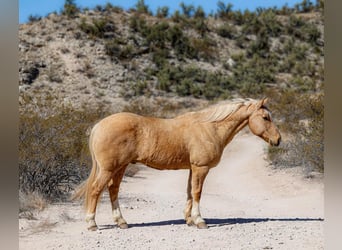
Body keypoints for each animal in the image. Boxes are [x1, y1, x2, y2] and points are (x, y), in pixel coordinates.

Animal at [74, 97, 280, 230]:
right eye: (265, 117)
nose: (278, 140)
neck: (210, 128)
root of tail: (99, 126)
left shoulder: (192, 168)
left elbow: (189, 192)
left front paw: (189, 220)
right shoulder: (201, 168)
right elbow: (197, 192)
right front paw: (200, 221)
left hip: (120, 167)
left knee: (113, 190)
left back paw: (122, 222)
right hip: (109, 168)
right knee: (96, 190)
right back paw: (92, 224)